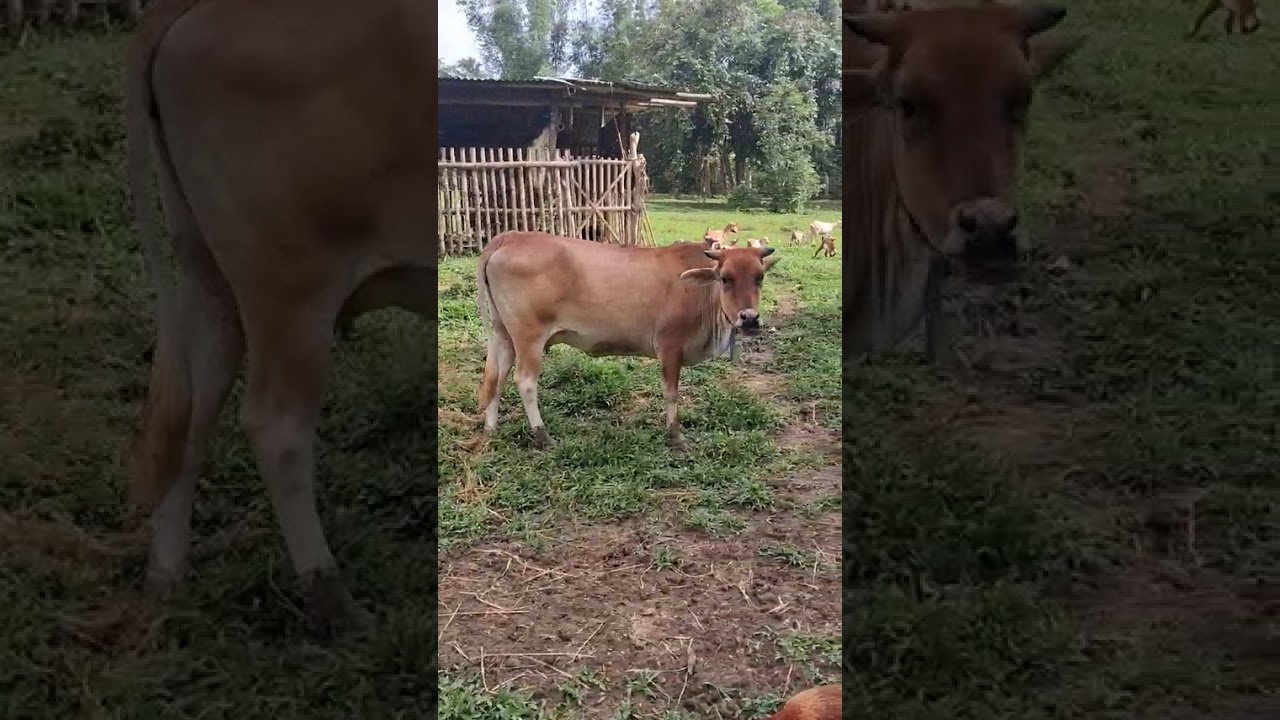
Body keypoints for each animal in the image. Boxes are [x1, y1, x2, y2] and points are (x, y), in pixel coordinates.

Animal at [124, 0, 434, 634]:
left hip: (207, 275)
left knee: (190, 417)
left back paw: (165, 578)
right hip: (290, 287)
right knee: (276, 426)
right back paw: (332, 596)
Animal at [476, 232, 781, 452]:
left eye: (760, 278)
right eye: (725, 279)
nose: (749, 318)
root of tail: (510, 237)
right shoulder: (669, 346)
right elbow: (671, 394)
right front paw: (676, 436)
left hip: (504, 334)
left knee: (497, 377)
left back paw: (491, 429)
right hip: (529, 337)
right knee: (525, 382)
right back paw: (542, 435)